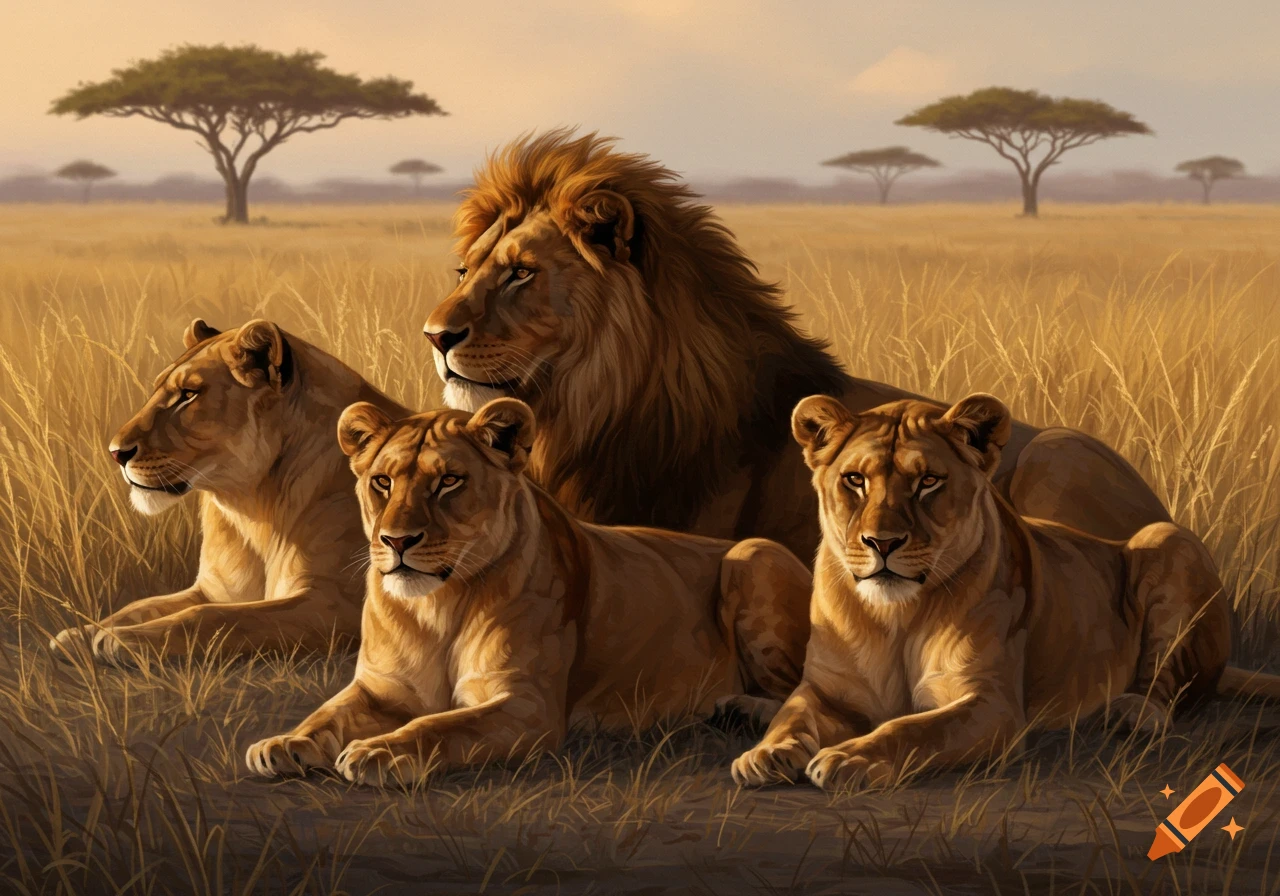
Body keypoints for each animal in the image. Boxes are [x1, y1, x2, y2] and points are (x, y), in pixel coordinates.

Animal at [50, 318, 409, 665]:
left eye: (188, 394)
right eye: (157, 391)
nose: (116, 453)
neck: (251, 508)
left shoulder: (336, 605)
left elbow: (211, 618)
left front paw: (120, 639)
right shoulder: (215, 590)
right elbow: (140, 607)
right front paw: (80, 634)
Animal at [245, 397, 811, 786]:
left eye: (449, 481)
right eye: (382, 482)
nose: (397, 541)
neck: (437, 606)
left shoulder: (527, 705)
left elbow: (439, 727)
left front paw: (379, 751)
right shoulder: (380, 688)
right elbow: (327, 714)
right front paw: (285, 743)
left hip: (753, 556)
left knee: (797, 690)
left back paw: (741, 714)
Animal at [732, 393, 1280, 790]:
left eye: (928, 481)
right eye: (854, 480)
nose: (882, 543)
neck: (896, 618)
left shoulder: (990, 704)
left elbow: (912, 728)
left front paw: (850, 757)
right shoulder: (824, 689)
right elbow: (793, 714)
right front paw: (764, 753)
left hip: (1167, 540)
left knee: (1171, 687)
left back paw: (1132, 711)